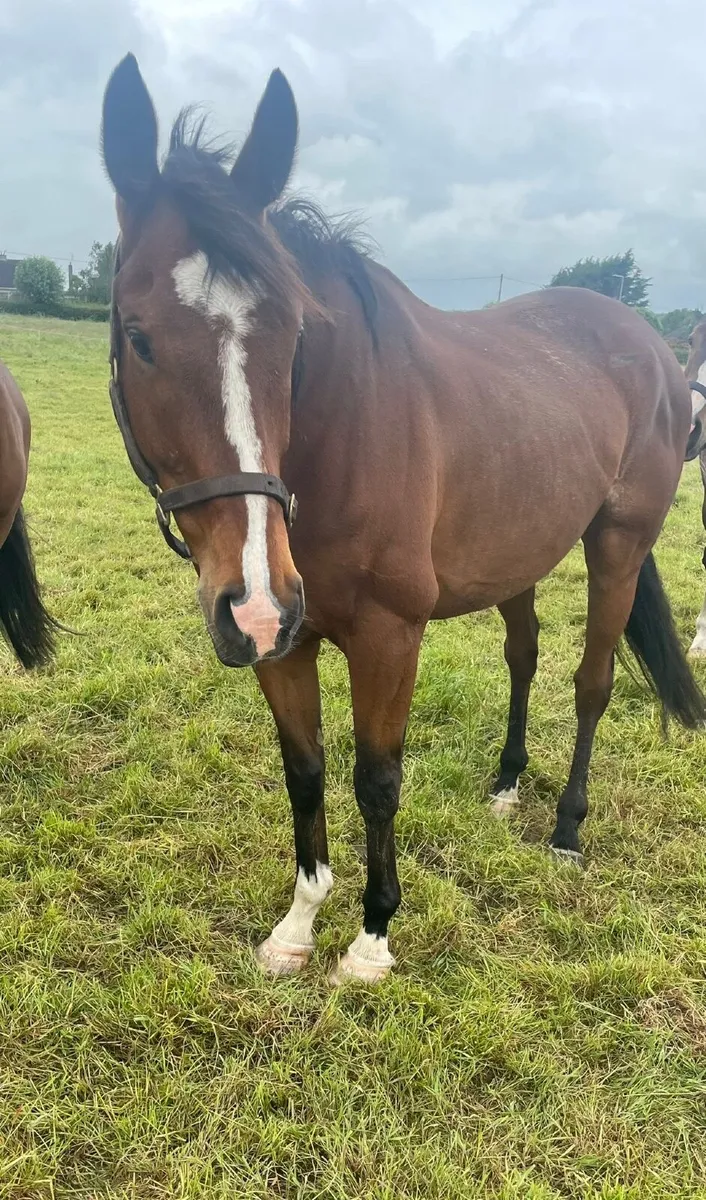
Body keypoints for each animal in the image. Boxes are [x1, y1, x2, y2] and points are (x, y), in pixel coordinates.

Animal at [101, 54, 705, 985]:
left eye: (295, 334)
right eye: (137, 334)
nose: (251, 598)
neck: (336, 439)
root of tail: (647, 344)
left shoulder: (389, 637)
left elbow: (377, 780)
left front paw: (373, 935)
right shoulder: (287, 642)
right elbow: (305, 771)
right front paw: (298, 925)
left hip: (618, 545)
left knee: (592, 681)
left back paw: (567, 830)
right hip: (516, 555)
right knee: (525, 656)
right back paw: (505, 786)